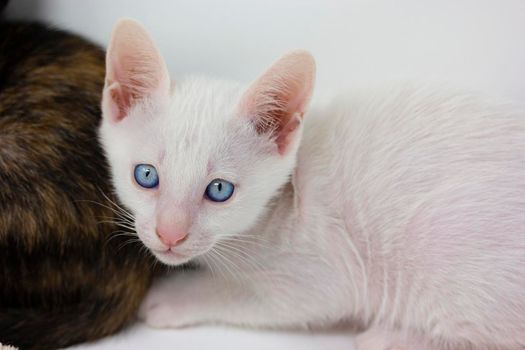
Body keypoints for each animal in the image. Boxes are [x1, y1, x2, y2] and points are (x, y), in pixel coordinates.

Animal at [99, 19, 524, 350]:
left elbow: (242, 292)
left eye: (219, 190)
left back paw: (388, 336)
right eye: (146, 176)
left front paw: (174, 297)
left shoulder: (327, 273)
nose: (170, 233)